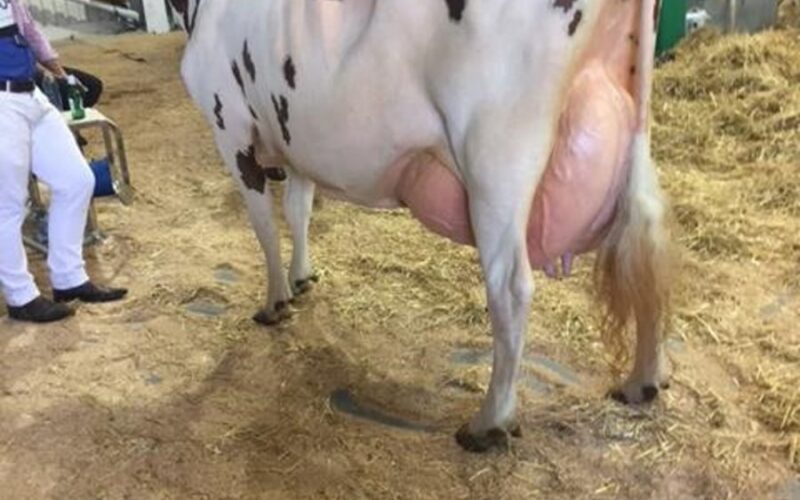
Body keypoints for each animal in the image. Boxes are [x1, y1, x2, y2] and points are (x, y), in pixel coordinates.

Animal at [168, 0, 672, 452]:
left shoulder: (229, 125)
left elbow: (264, 227)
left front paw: (275, 300)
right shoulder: (294, 140)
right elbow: (298, 208)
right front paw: (301, 277)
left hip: (495, 157)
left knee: (511, 287)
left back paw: (489, 423)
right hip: (634, 127)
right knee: (647, 242)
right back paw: (643, 380)